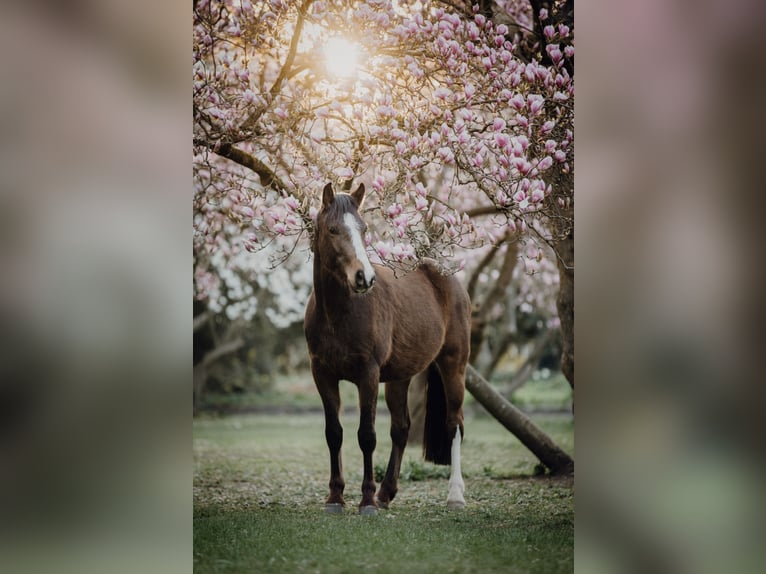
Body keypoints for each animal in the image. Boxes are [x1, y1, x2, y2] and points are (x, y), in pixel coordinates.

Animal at [304, 182, 472, 516]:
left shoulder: (367, 375)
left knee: (454, 424)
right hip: (399, 377)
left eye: (363, 228)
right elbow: (334, 434)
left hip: (453, 367)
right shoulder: (322, 374)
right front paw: (336, 497)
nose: (364, 277)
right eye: (332, 229)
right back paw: (387, 493)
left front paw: (366, 501)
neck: (337, 315)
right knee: (402, 428)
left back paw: (455, 495)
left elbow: (366, 436)